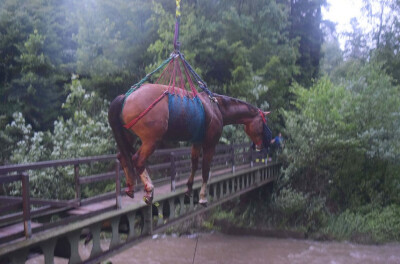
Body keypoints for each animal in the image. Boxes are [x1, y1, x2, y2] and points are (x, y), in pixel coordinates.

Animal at [108, 84, 270, 206]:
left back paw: (130, 186)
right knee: (138, 160)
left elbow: (194, 164)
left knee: (122, 156)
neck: (216, 108)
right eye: (262, 123)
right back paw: (149, 189)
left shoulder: (196, 141)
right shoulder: (210, 143)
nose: (263, 144)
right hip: (151, 140)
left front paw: (189, 189)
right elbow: (205, 169)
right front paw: (203, 197)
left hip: (129, 135)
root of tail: (126, 97)